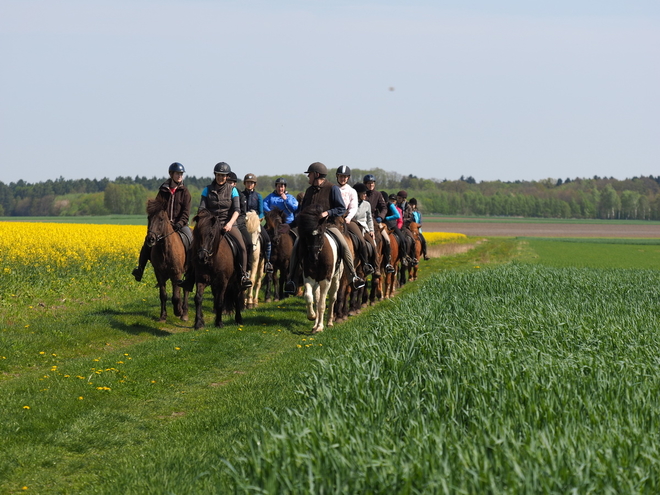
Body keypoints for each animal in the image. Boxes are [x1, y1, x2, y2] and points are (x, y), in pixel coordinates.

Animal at [296, 203, 342, 336]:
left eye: (320, 234)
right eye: (306, 236)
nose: (313, 257)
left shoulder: (325, 280)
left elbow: (322, 304)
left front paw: (321, 327)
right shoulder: (309, 278)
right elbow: (309, 297)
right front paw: (312, 316)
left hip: (336, 279)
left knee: (332, 298)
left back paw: (329, 323)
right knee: (316, 299)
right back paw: (315, 325)